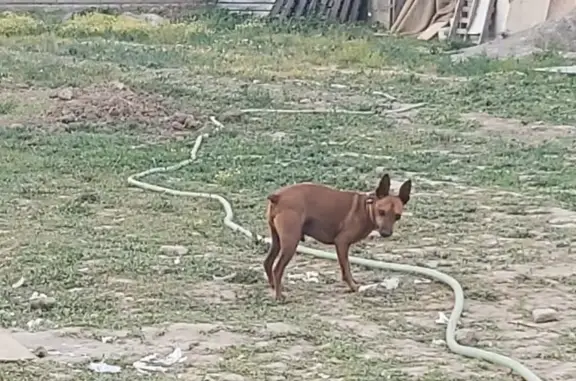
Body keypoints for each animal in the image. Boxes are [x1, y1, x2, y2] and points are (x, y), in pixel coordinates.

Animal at [264, 173, 412, 300]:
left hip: (277, 241)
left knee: (267, 262)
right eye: (381, 212)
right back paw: (279, 296)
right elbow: (346, 269)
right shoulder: (341, 243)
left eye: (397, 216)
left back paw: (274, 286)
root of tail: (278, 196)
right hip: (291, 243)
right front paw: (353, 287)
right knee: (277, 269)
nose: (386, 233)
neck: (366, 208)